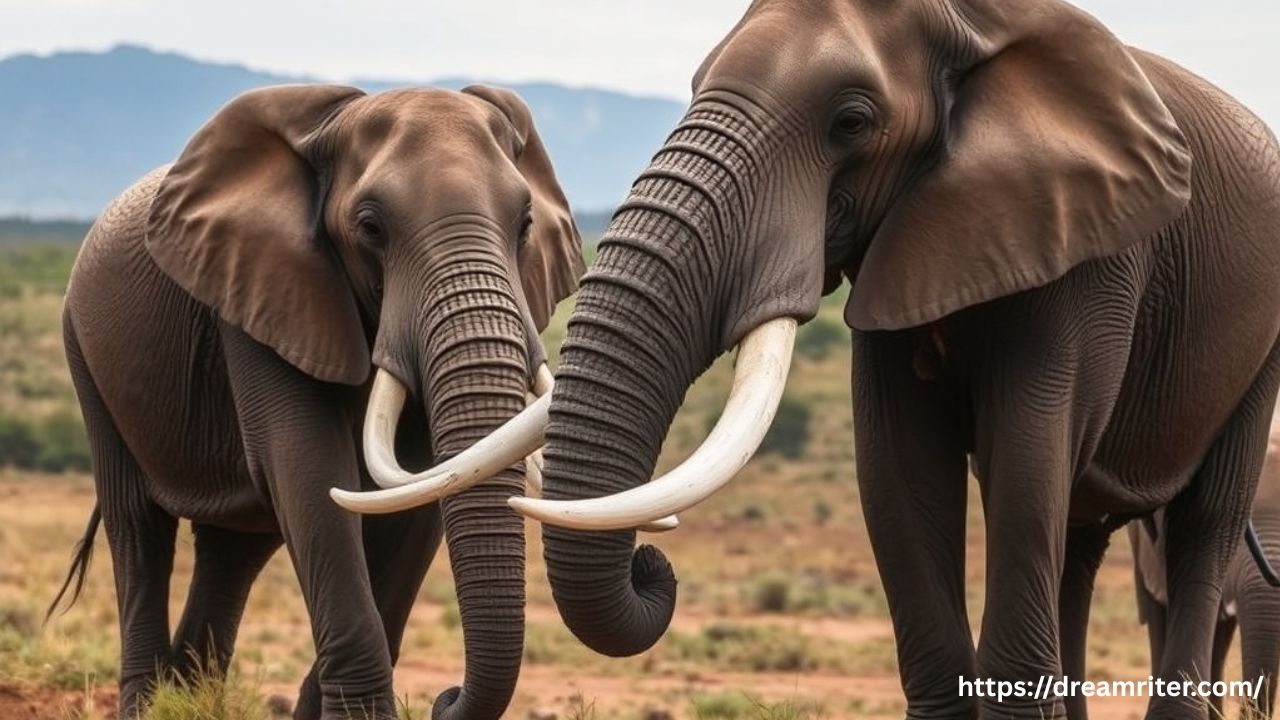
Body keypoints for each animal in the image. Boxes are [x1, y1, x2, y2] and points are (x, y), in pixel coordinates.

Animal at [47, 84, 583, 720]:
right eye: (370, 227)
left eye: (524, 224)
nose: (445, 697)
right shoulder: (259, 295)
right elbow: (309, 470)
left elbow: (427, 483)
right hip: (85, 350)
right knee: (138, 528)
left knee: (233, 549)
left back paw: (189, 690)